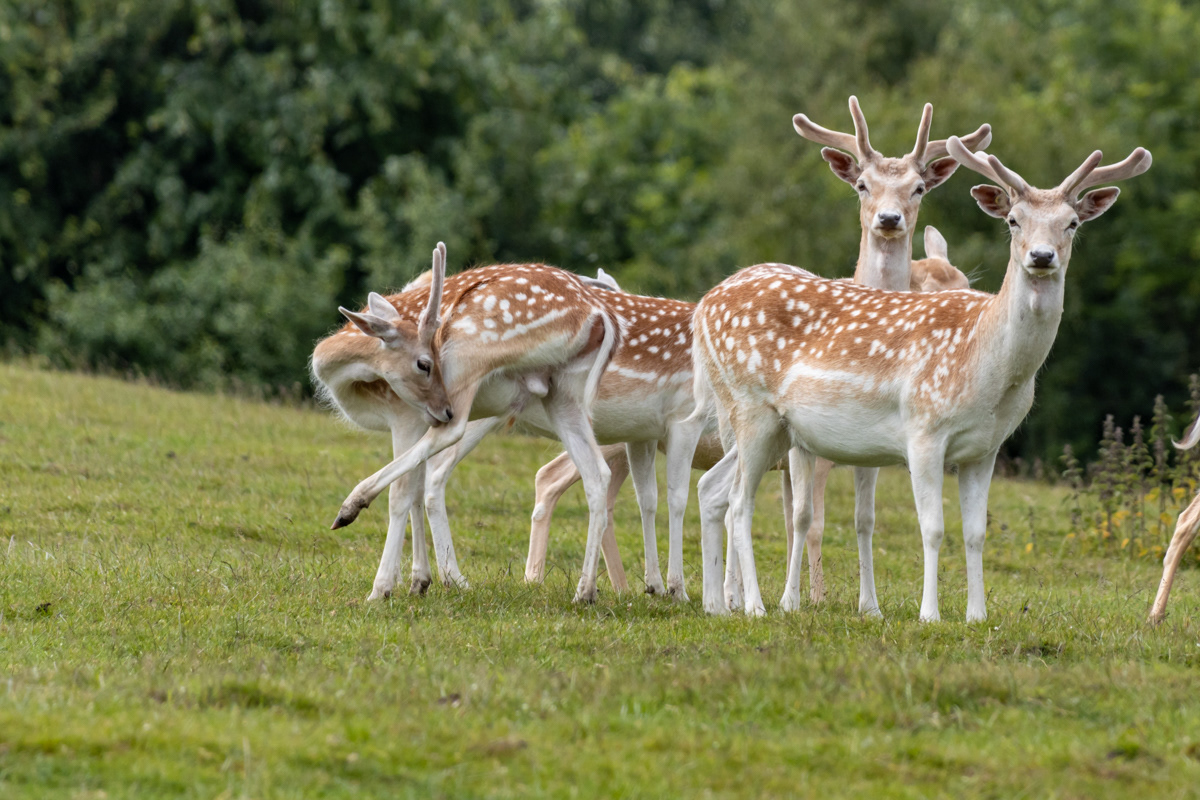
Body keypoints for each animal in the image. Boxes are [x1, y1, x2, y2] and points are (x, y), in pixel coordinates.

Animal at [312, 242, 625, 604]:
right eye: (424, 363)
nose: (443, 410)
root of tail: (600, 315)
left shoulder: (406, 415)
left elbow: (402, 491)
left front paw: (384, 587)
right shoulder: (409, 421)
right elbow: (413, 487)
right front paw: (418, 581)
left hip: (471, 357)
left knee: (450, 441)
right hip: (563, 395)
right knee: (596, 474)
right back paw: (585, 592)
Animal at [691, 137, 1151, 619]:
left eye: (1072, 224)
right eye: (1013, 220)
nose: (1042, 256)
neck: (987, 370)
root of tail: (704, 306)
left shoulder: (985, 448)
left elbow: (975, 532)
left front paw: (976, 615)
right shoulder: (924, 430)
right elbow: (932, 527)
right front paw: (929, 613)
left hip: (776, 429)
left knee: (714, 489)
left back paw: (716, 604)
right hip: (750, 408)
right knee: (739, 503)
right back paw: (755, 606)